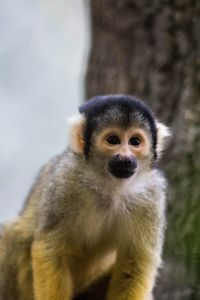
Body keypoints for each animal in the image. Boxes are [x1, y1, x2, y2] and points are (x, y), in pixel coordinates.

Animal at [0, 95, 170, 300]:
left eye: (135, 142)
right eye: (113, 140)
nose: (125, 158)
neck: (111, 187)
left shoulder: (152, 197)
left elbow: (135, 263)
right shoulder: (65, 182)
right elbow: (50, 249)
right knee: (15, 235)